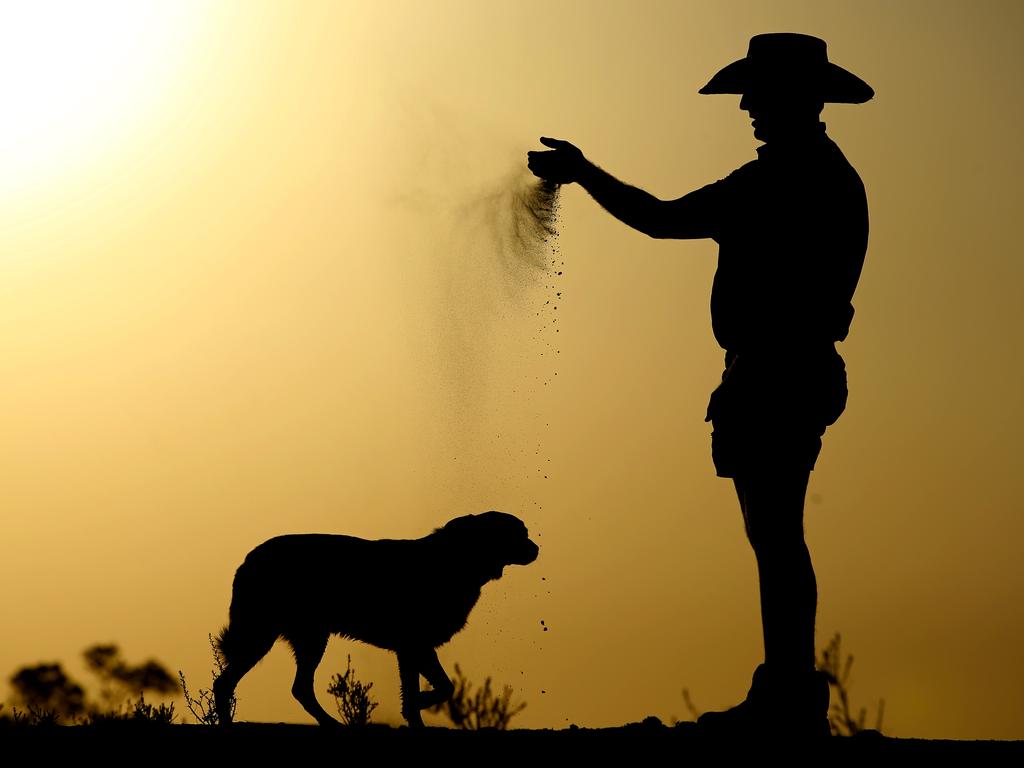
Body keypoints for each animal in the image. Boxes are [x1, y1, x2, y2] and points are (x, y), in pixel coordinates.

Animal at [212, 512, 540, 729]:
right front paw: (420, 706)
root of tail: (249, 559)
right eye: (519, 533)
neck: (455, 561)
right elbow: (436, 689)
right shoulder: (414, 646)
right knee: (226, 683)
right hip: (267, 634)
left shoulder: (413, 649)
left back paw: (331, 725)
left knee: (298, 687)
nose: (537, 548)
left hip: (307, 637)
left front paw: (417, 717)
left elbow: (429, 690)